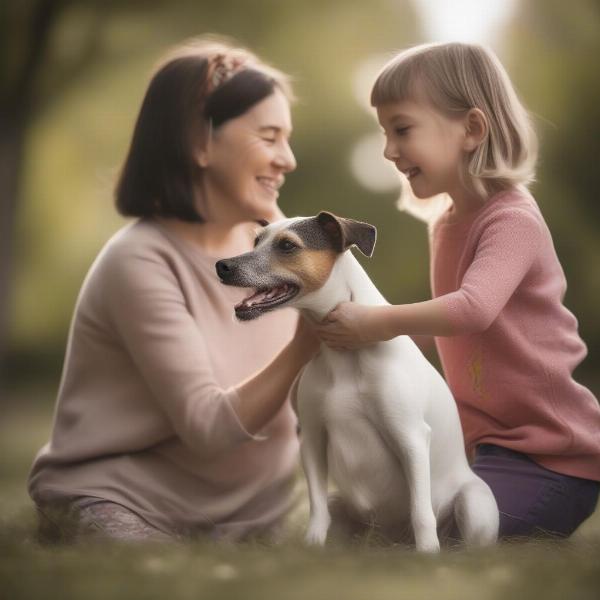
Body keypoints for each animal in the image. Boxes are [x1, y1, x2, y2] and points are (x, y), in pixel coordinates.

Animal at [216, 212, 496, 552]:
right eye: (256, 241)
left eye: (287, 246)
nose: (222, 265)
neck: (344, 357)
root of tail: (388, 540)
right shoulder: (312, 437)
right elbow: (316, 510)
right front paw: (312, 547)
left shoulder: (411, 437)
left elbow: (421, 512)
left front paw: (428, 554)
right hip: (342, 507)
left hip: (474, 505)